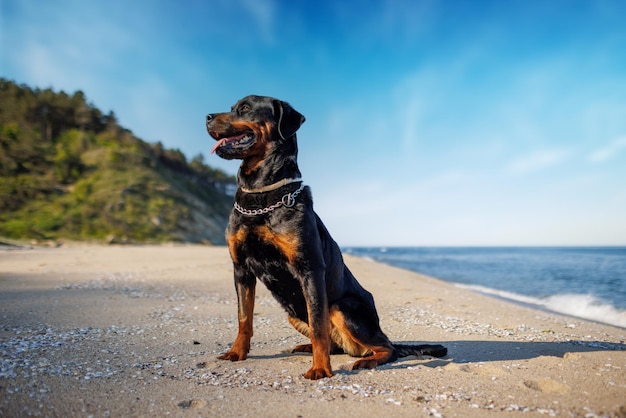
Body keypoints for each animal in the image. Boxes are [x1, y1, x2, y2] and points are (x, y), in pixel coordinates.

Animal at [205, 95, 444, 378]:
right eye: (232, 108)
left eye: (244, 108)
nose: (207, 117)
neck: (261, 194)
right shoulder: (241, 268)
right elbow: (244, 318)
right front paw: (236, 353)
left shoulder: (310, 269)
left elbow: (318, 326)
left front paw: (320, 369)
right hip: (293, 314)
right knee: (335, 343)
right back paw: (306, 347)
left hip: (343, 307)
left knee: (385, 347)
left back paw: (366, 360)